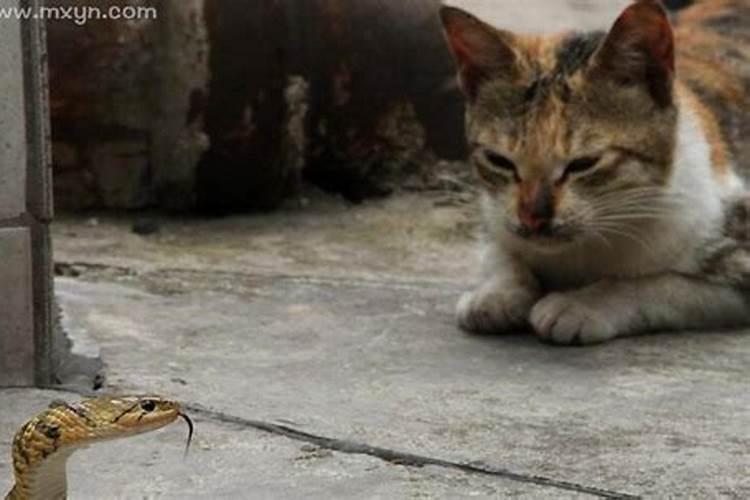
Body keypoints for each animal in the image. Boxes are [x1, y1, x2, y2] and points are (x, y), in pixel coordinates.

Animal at [440, 0, 750, 344]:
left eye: (583, 163)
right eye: (499, 160)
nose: (532, 218)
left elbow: (663, 284)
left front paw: (582, 305)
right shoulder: (494, 212)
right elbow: (498, 248)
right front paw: (496, 293)